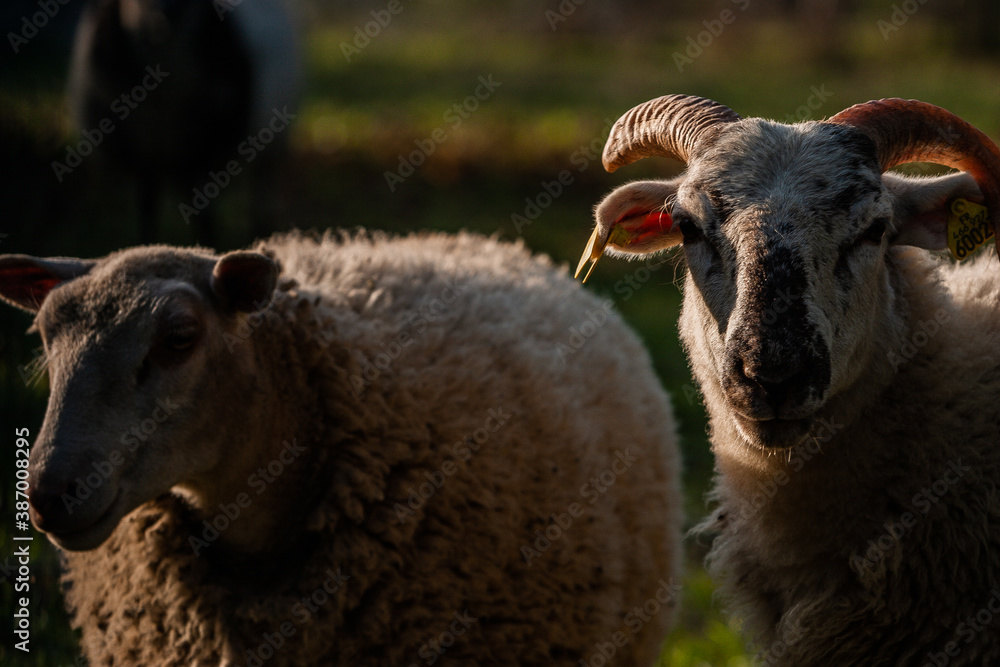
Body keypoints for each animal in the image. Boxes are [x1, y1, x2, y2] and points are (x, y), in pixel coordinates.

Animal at [67, 0, 300, 246]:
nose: (164, 15)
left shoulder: (202, 155)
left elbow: (205, 219)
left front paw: (209, 246)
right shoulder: (143, 159)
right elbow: (146, 211)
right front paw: (147, 244)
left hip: (269, 146)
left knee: (261, 192)